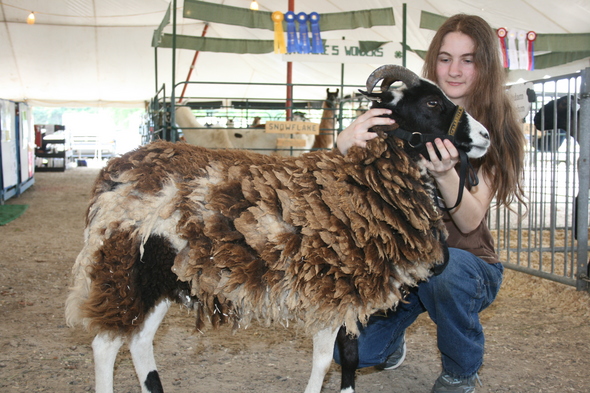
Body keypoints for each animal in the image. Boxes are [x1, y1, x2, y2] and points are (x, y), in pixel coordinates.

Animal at [65, 65, 492, 392]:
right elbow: (324, 361)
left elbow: (350, 357)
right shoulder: (329, 291)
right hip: (122, 262)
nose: (486, 136)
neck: (361, 183)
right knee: (106, 344)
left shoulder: (351, 287)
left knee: (138, 340)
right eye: (432, 103)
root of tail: (113, 171)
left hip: (165, 277)